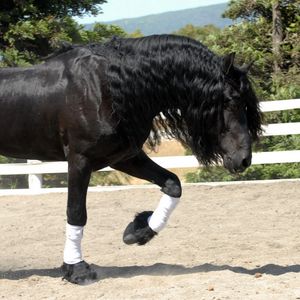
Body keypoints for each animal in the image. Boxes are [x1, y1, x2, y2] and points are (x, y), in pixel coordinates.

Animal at [0, 35, 260, 284]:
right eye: (230, 99)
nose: (244, 159)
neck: (105, 89)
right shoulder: (79, 160)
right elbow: (76, 212)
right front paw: (77, 269)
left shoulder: (123, 156)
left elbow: (173, 184)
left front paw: (139, 230)